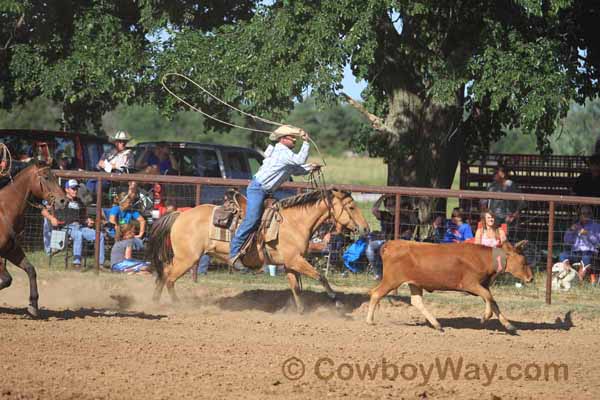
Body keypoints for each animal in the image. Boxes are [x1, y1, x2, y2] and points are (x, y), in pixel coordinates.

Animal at [0, 162, 68, 316]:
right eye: (46, 177)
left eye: (55, 176)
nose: (64, 200)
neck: (5, 211)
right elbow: (6, 279)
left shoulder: (12, 251)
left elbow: (30, 270)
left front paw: (33, 305)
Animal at [146, 188, 370, 312]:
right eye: (351, 207)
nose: (366, 228)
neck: (294, 222)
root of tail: (179, 214)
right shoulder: (296, 260)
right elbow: (321, 277)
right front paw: (338, 303)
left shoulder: (290, 263)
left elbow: (296, 287)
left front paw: (298, 310)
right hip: (188, 258)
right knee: (170, 278)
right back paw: (177, 304)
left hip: (184, 258)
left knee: (164, 274)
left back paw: (156, 302)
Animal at [366, 239, 536, 332]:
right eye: (524, 262)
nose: (531, 278)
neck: (485, 258)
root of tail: (391, 244)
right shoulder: (470, 284)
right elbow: (489, 298)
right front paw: (485, 317)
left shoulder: (483, 285)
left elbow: (493, 302)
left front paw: (508, 325)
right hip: (391, 280)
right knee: (376, 293)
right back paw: (369, 321)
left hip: (414, 283)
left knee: (416, 301)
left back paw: (437, 325)